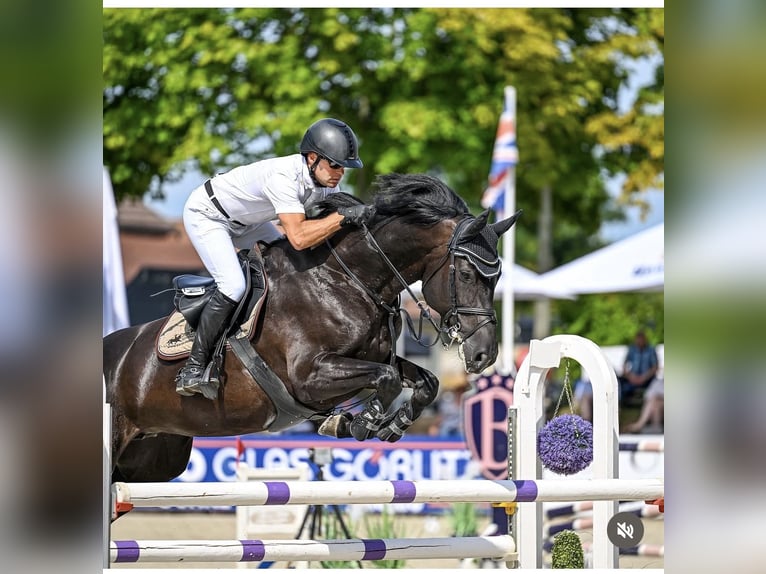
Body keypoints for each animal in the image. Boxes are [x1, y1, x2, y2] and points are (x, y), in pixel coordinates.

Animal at [104, 173, 520, 483]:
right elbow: (385, 379)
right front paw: (361, 421)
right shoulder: (309, 376)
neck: (349, 280)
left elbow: (425, 382)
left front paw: (390, 424)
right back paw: (193, 377)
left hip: (152, 459)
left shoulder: (372, 358)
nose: (484, 355)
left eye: (498, 277)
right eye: (466, 274)